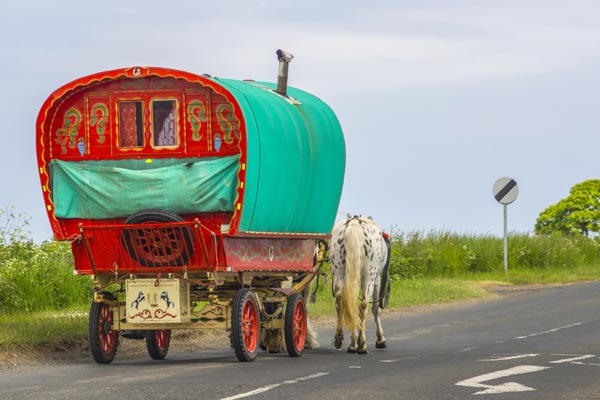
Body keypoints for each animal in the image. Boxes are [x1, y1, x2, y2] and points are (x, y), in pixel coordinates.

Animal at [328, 216, 390, 354]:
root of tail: (354, 223)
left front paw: (353, 342)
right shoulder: (376, 280)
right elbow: (376, 309)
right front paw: (380, 339)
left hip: (339, 273)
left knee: (341, 303)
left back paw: (343, 340)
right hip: (369, 277)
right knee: (363, 306)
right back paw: (362, 344)